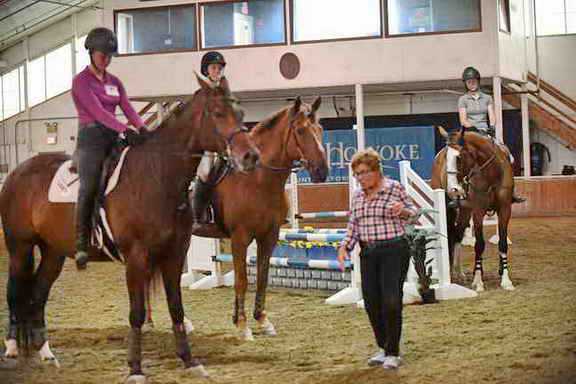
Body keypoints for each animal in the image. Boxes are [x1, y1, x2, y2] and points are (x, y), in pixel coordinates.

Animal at [0, 76, 258, 382]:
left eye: (241, 114)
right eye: (218, 113)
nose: (251, 156)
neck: (157, 177)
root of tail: (17, 172)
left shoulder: (173, 256)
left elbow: (176, 309)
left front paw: (189, 361)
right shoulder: (136, 259)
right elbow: (137, 313)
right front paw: (135, 368)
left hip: (53, 252)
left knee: (38, 294)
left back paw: (46, 354)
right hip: (19, 247)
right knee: (14, 292)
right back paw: (12, 349)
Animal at [194, 96, 328, 340]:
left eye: (320, 129)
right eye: (300, 130)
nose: (322, 171)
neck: (256, 179)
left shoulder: (269, 235)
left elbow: (262, 277)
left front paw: (262, 320)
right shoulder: (239, 238)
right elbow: (241, 280)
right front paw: (242, 325)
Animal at [428, 127, 516, 292]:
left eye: (459, 157)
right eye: (446, 157)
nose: (453, 190)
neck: (492, 173)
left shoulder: (505, 210)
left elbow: (502, 243)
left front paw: (506, 279)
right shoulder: (478, 211)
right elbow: (479, 245)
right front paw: (478, 281)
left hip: (465, 211)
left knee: (457, 235)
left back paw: (459, 272)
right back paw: (455, 273)